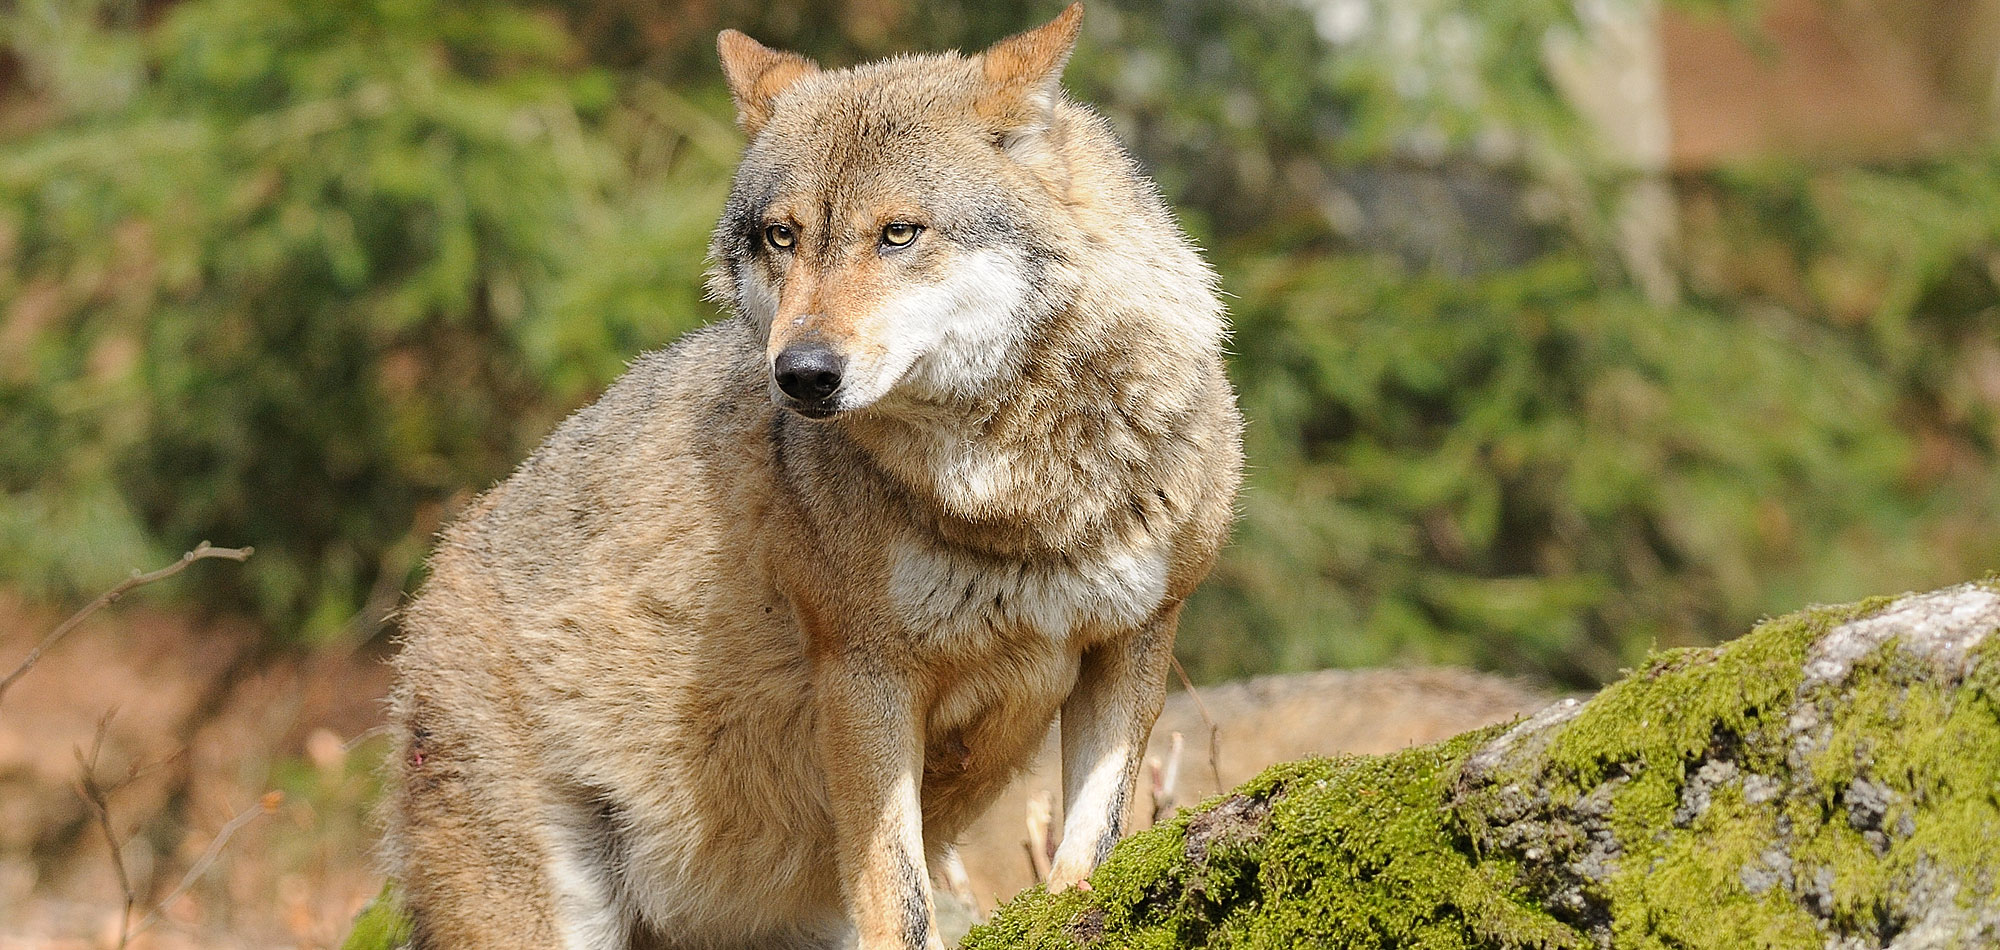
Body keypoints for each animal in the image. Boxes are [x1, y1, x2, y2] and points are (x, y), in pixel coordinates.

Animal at [382, 3, 1240, 948]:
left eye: (898, 233)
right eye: (782, 237)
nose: (800, 374)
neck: (1022, 496)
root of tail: (422, 604)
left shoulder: (1137, 639)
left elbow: (1091, 842)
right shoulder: (861, 675)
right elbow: (901, 901)